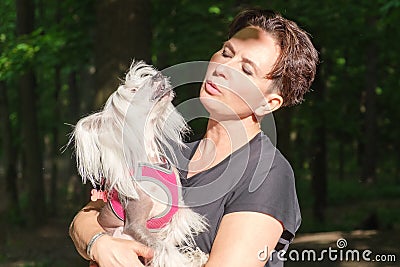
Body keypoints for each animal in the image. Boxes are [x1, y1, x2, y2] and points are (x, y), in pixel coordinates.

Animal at [70, 60, 209, 267]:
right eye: (134, 90)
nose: (158, 75)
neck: (151, 159)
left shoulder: (176, 214)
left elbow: (173, 234)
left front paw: (193, 257)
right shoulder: (134, 225)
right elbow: (163, 248)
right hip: (120, 233)